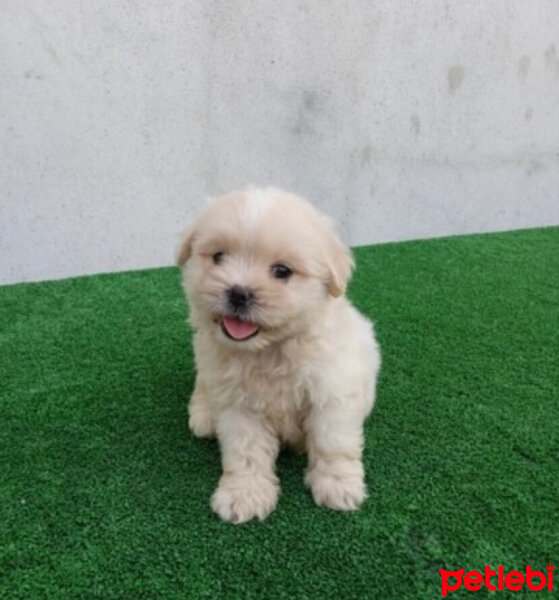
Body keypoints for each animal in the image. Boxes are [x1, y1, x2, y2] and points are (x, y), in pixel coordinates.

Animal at [177, 189, 382, 524]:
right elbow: (245, 451)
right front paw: (244, 495)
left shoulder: (332, 392)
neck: (269, 349)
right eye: (219, 257)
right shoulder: (238, 405)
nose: (238, 293)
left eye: (282, 271)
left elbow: (332, 442)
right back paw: (204, 415)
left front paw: (338, 486)